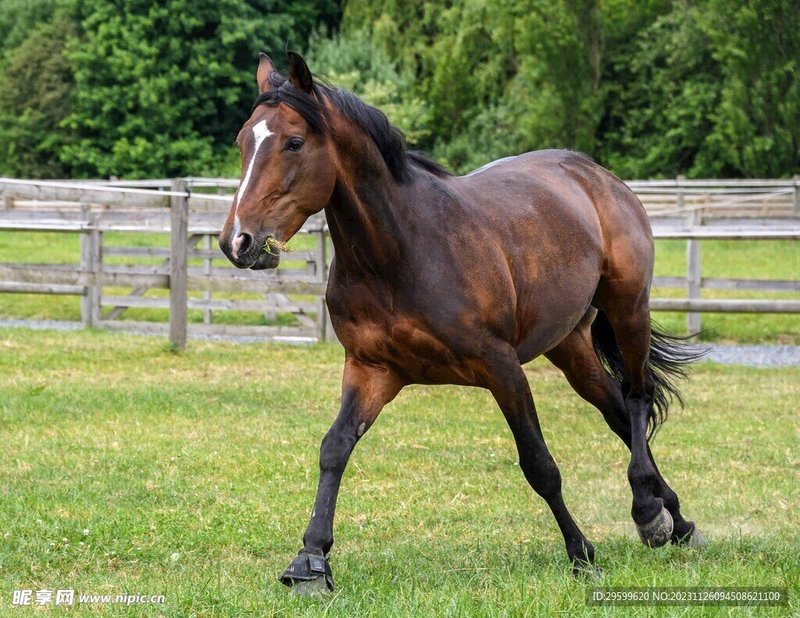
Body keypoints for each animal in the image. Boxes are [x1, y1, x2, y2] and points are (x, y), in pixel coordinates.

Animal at [218, 51, 705, 592]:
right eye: (242, 141)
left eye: (294, 142)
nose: (238, 242)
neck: (401, 253)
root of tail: (595, 174)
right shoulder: (371, 370)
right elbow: (334, 448)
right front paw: (310, 559)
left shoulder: (501, 368)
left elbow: (539, 465)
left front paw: (581, 554)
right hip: (570, 346)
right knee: (618, 411)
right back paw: (677, 518)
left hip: (628, 309)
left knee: (638, 398)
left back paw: (648, 512)